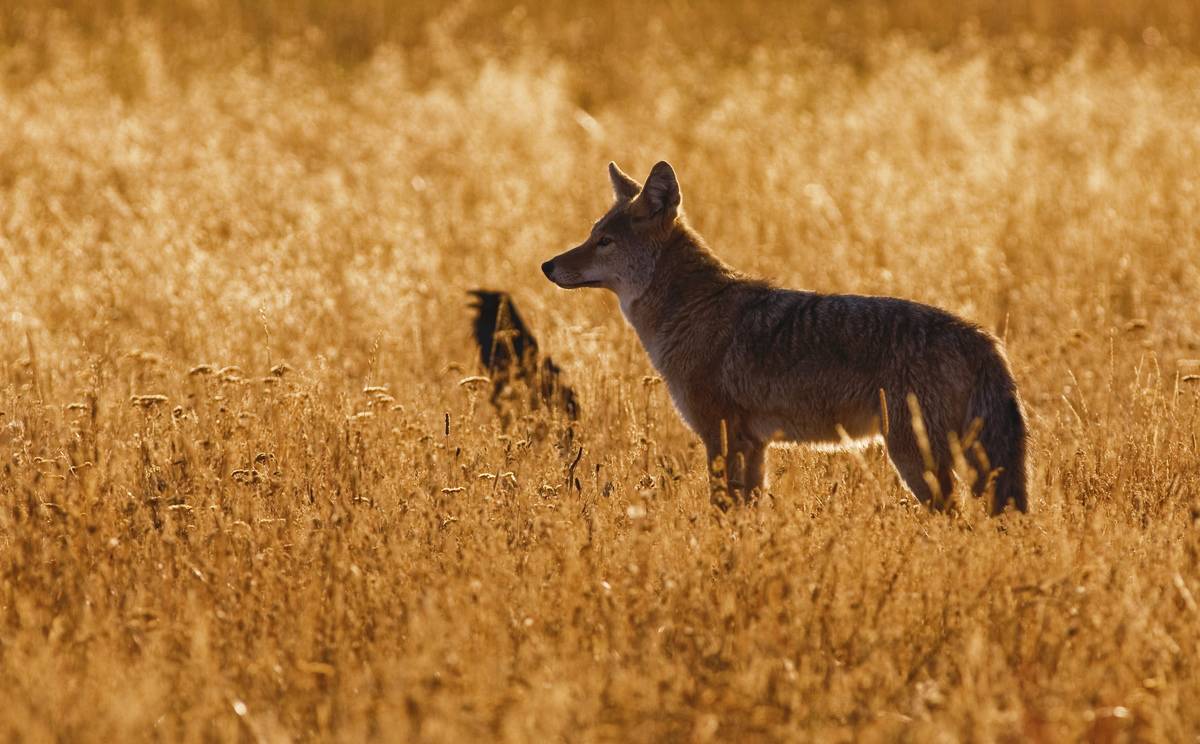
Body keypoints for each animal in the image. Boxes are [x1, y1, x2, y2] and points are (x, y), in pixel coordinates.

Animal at [541, 161, 1028, 514]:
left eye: (604, 241)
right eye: (591, 235)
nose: (547, 265)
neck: (689, 309)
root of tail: (981, 336)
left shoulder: (721, 438)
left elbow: (721, 511)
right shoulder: (754, 446)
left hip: (915, 460)